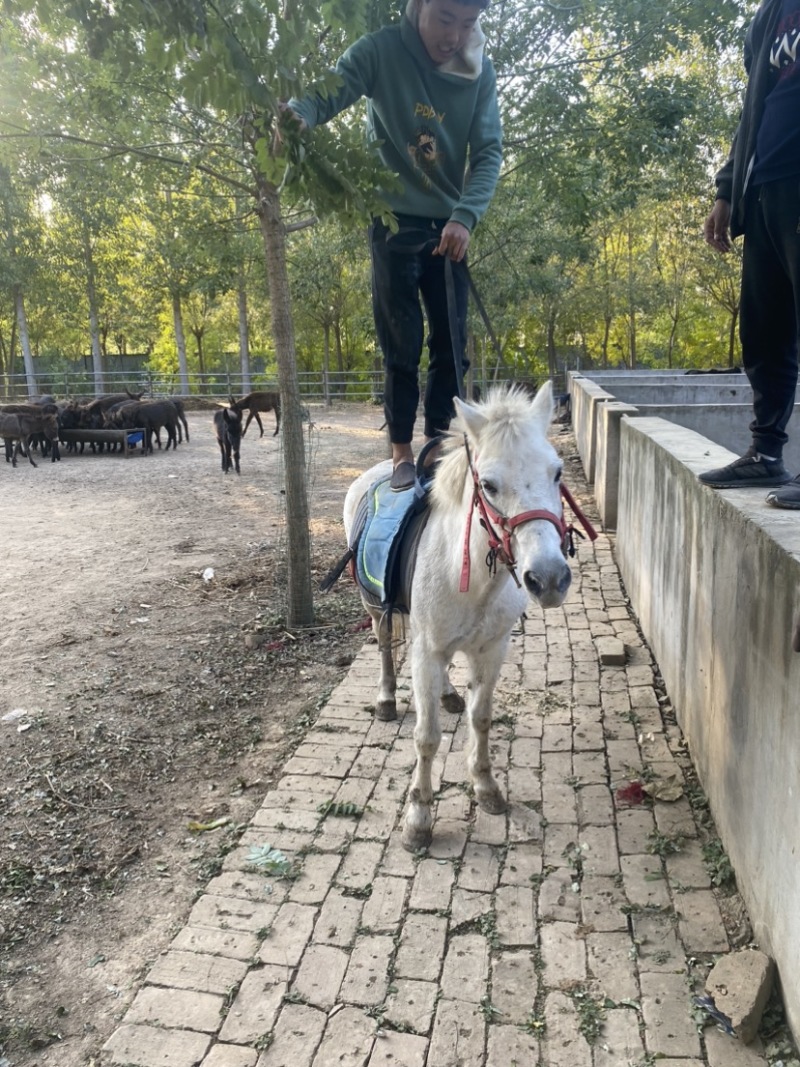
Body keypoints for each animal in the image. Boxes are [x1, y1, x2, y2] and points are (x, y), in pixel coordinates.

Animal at [344, 382, 574, 851]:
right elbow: (427, 737)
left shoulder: (492, 649)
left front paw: (486, 787)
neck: (471, 577)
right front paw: (418, 817)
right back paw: (386, 698)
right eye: (488, 484)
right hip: (374, 608)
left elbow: (481, 718)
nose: (549, 578)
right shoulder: (426, 652)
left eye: (557, 472)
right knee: (385, 648)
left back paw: (449, 694)